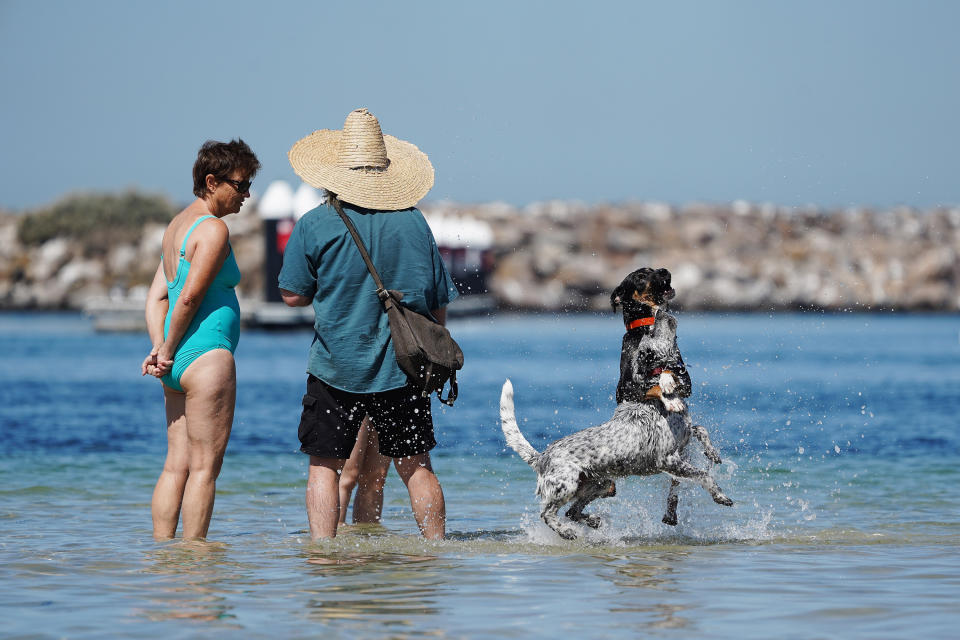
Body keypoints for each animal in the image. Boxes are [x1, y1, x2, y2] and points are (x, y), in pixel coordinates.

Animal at [498, 266, 732, 540]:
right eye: (651, 330)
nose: (662, 311)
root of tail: (542, 457)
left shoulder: (683, 443)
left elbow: (699, 432)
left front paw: (712, 453)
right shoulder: (668, 460)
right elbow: (703, 475)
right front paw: (720, 495)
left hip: (601, 484)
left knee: (572, 511)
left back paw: (592, 521)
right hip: (566, 485)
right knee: (547, 513)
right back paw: (566, 532)